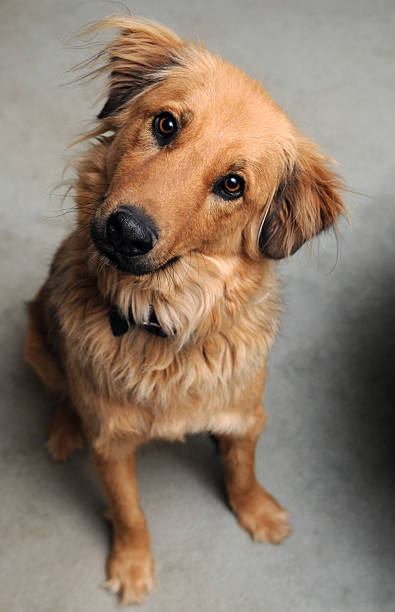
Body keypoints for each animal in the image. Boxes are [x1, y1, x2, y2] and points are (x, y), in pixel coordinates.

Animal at [24, 16, 346, 604]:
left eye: (233, 184)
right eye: (166, 124)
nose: (127, 231)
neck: (161, 318)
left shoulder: (247, 417)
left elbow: (242, 472)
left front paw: (257, 512)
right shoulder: (112, 447)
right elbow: (130, 513)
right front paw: (132, 565)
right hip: (35, 340)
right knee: (61, 389)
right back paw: (64, 427)